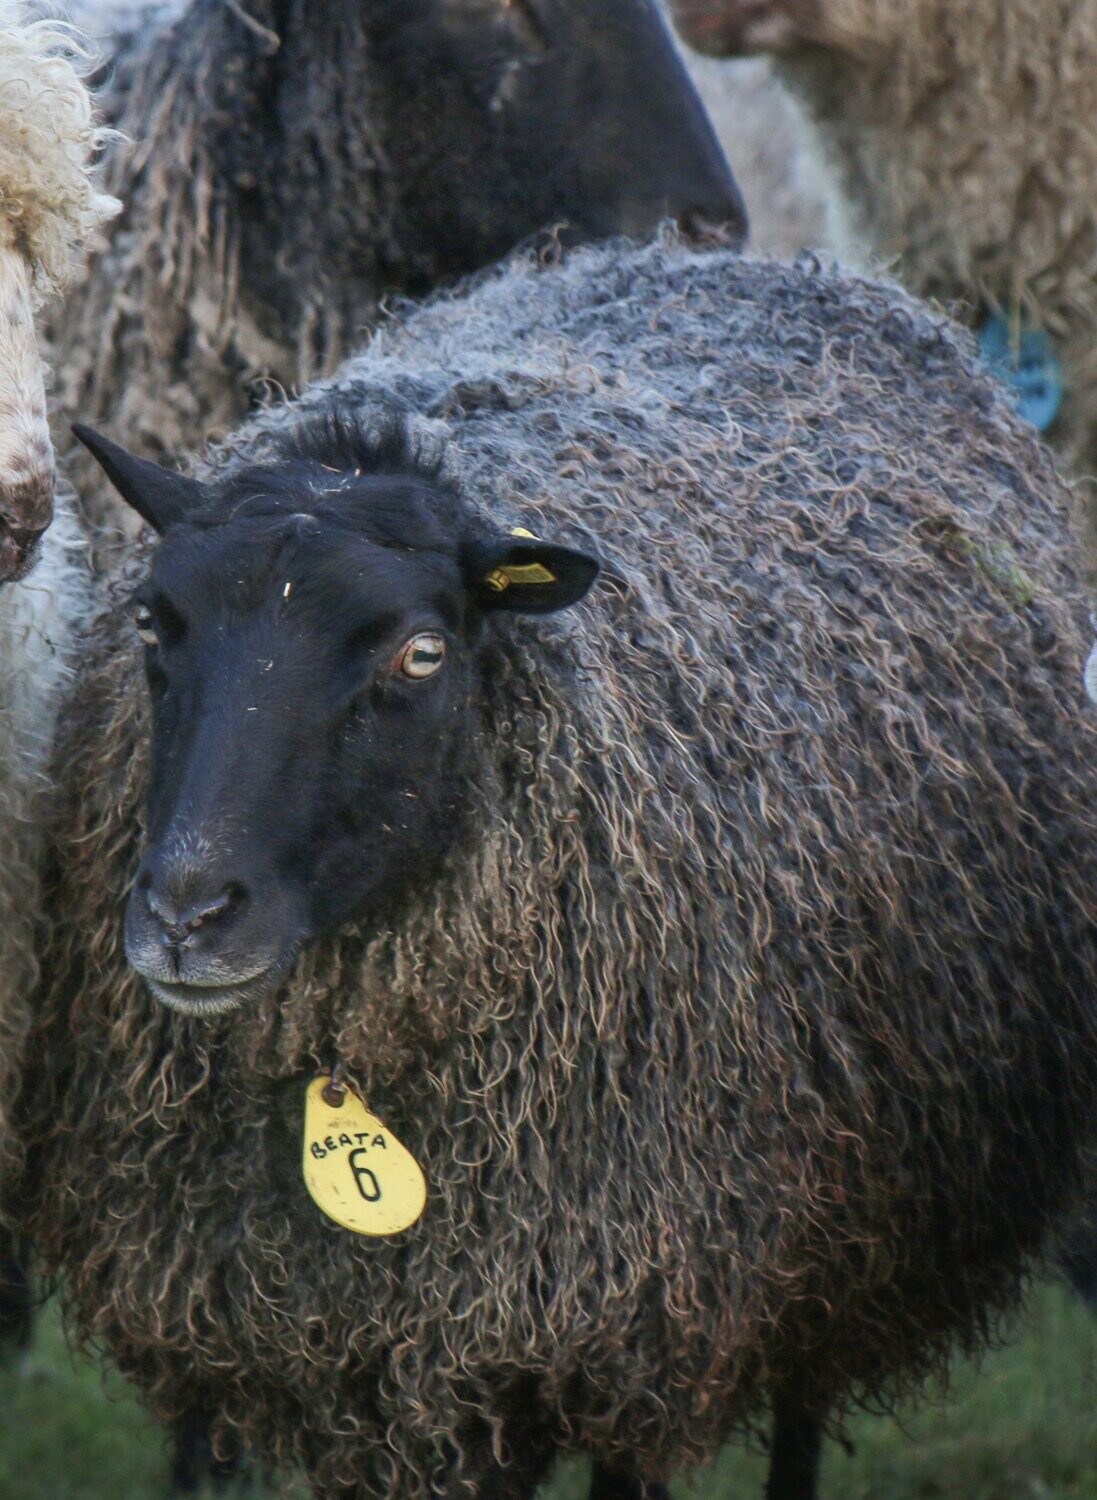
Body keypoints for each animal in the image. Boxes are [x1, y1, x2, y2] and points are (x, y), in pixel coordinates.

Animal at [13, 236, 1097, 1500]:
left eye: (420, 653)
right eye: (151, 621)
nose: (188, 912)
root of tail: (719, 258)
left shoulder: (598, 1325)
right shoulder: (254, 1333)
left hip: (837, 1230)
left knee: (801, 1402)